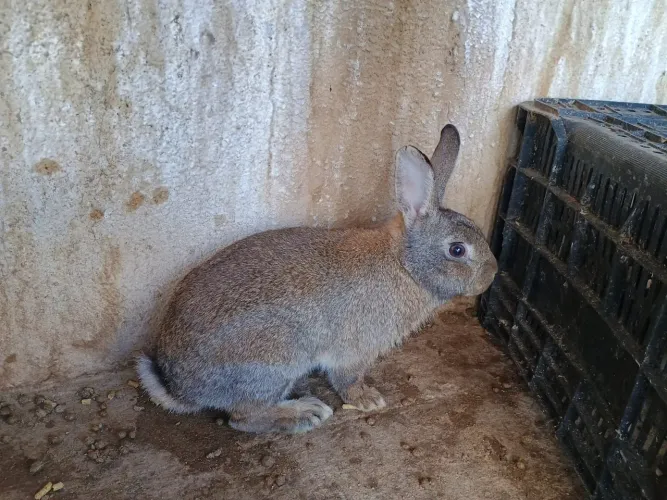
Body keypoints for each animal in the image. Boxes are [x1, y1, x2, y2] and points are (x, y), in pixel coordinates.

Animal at [137, 124, 498, 434]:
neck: (405, 264)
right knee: (243, 417)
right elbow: (347, 379)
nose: (491, 275)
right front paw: (368, 399)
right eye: (457, 250)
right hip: (274, 359)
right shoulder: (354, 349)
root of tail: (178, 387)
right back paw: (305, 413)